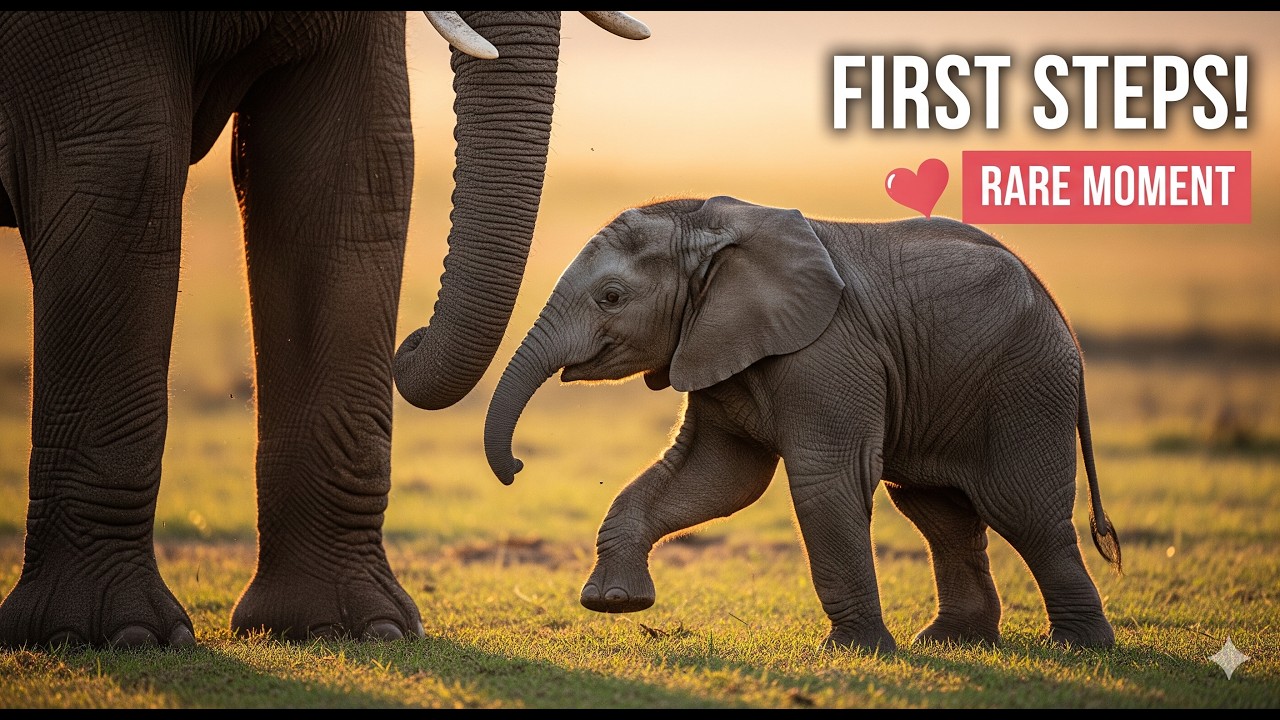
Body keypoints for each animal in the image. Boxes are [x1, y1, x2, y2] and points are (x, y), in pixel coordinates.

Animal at [483, 195, 1123, 653]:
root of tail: (1059, 313)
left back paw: (1078, 649)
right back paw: (951, 643)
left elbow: (824, 484)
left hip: (1026, 386)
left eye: (612, 297)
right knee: (938, 512)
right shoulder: (716, 344)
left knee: (1023, 510)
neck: (709, 227)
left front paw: (856, 653)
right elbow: (717, 478)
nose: (515, 466)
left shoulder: (827, 354)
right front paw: (614, 603)